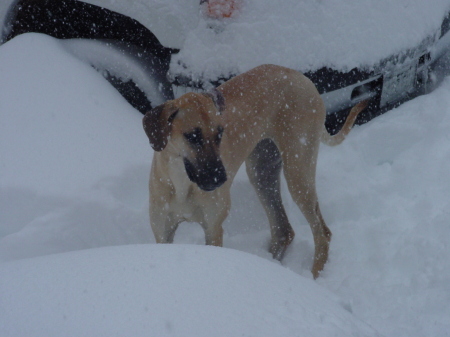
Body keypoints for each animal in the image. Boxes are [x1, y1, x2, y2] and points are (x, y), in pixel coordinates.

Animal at [142, 64, 368, 276]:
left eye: (219, 134)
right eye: (193, 136)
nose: (221, 179)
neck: (181, 181)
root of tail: (302, 77)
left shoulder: (213, 228)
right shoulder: (162, 232)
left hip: (298, 172)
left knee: (322, 233)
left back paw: (311, 277)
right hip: (262, 172)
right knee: (283, 230)